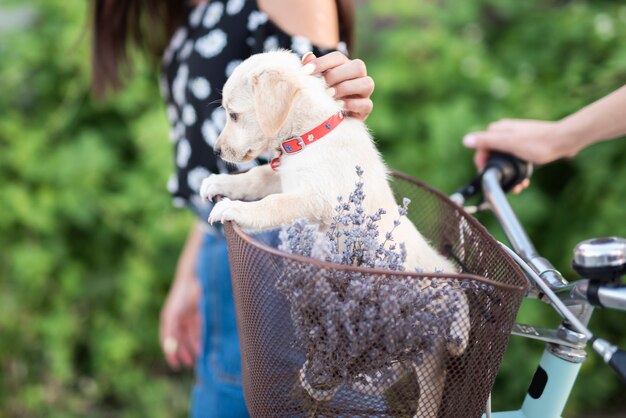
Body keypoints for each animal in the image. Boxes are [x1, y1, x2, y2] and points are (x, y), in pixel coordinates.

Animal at [200, 50, 468, 416]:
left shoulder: (311, 199)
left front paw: (234, 209)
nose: (216, 150)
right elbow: (255, 177)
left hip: (423, 344)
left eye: (234, 114)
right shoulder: (282, 178)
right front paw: (220, 183)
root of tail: (451, 278)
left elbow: (269, 205)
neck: (308, 137)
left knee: (432, 382)